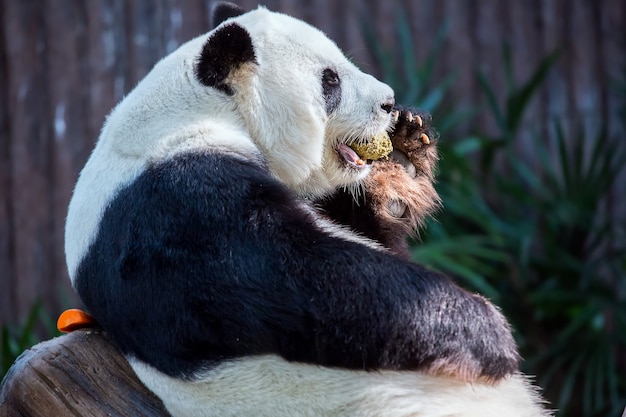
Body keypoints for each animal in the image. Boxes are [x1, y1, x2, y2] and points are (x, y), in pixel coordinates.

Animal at [66, 3, 548, 416]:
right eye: (330, 81)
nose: (389, 102)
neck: (202, 108)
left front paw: (406, 155)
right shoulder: (174, 208)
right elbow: (303, 276)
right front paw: (487, 330)